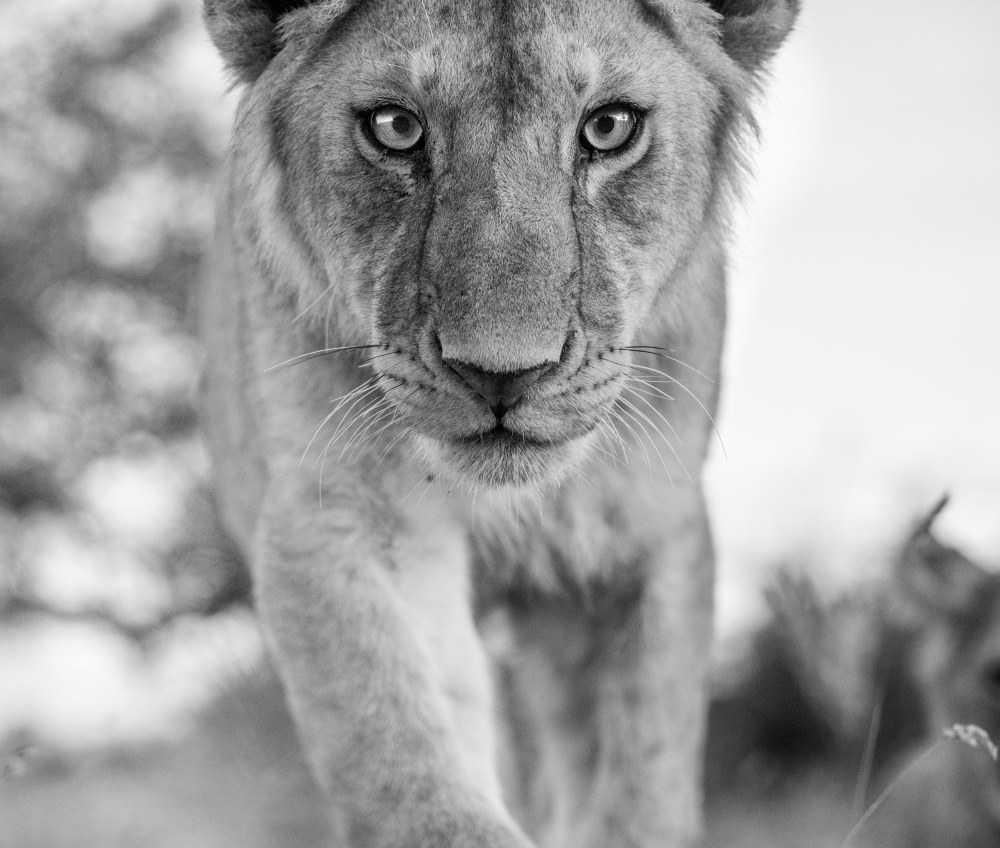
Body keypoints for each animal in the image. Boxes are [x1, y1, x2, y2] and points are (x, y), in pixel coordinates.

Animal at [198, 1, 797, 846]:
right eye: (395, 127)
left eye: (609, 126)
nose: (503, 373)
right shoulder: (341, 518)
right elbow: (410, 768)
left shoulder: (643, 533)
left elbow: (642, 782)